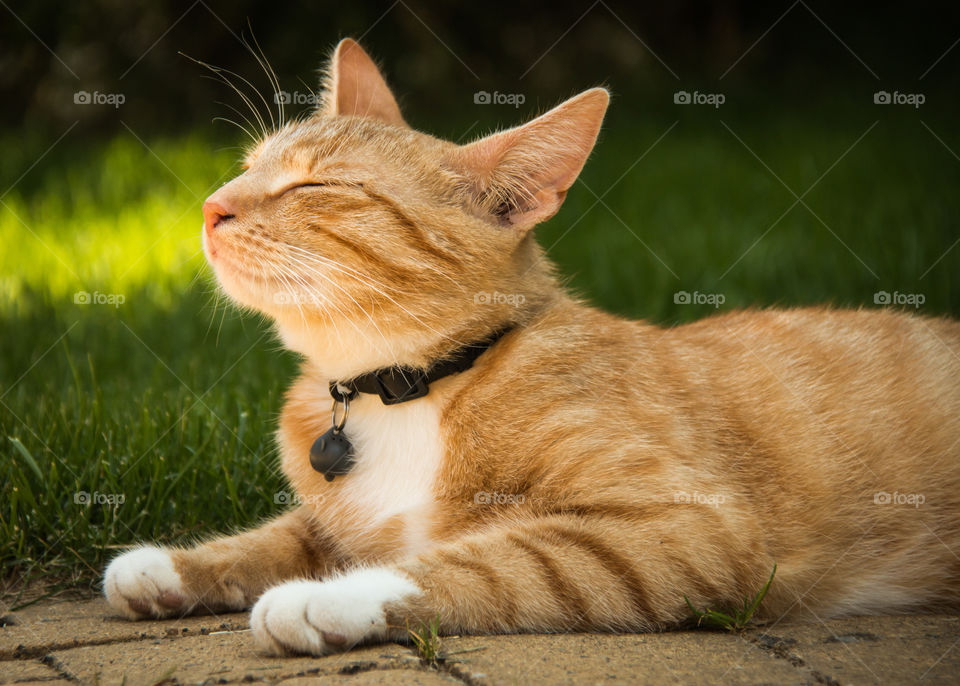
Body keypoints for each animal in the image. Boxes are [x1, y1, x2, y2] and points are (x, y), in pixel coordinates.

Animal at [103, 36, 960, 656]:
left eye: (315, 188)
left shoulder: (693, 530)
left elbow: (490, 560)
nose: (209, 206)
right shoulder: (332, 516)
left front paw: (329, 598)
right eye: (249, 168)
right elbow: (282, 537)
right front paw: (171, 565)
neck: (408, 387)